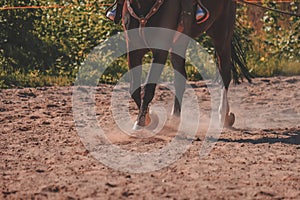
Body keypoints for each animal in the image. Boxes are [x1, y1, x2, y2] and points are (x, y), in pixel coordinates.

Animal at [120, 0, 250, 129]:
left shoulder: (160, 50)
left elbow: (148, 88)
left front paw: (140, 122)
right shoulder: (133, 48)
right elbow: (134, 88)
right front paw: (149, 117)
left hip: (222, 35)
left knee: (225, 74)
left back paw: (223, 116)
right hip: (179, 43)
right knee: (180, 79)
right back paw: (176, 117)